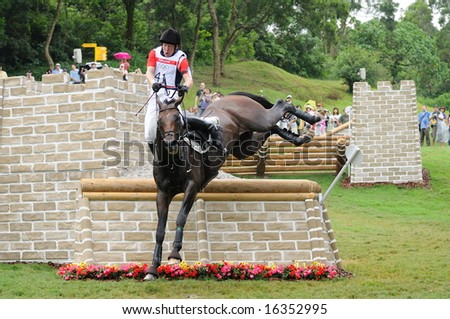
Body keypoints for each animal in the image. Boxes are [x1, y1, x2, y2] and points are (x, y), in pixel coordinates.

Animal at [143, 88, 320, 280]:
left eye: (178, 119)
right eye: (159, 121)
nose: (171, 143)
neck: (172, 161)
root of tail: (230, 97)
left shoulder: (192, 187)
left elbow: (181, 217)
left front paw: (175, 254)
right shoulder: (162, 193)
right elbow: (160, 230)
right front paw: (153, 268)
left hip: (259, 120)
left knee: (281, 106)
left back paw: (312, 119)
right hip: (244, 146)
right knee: (272, 128)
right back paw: (297, 138)